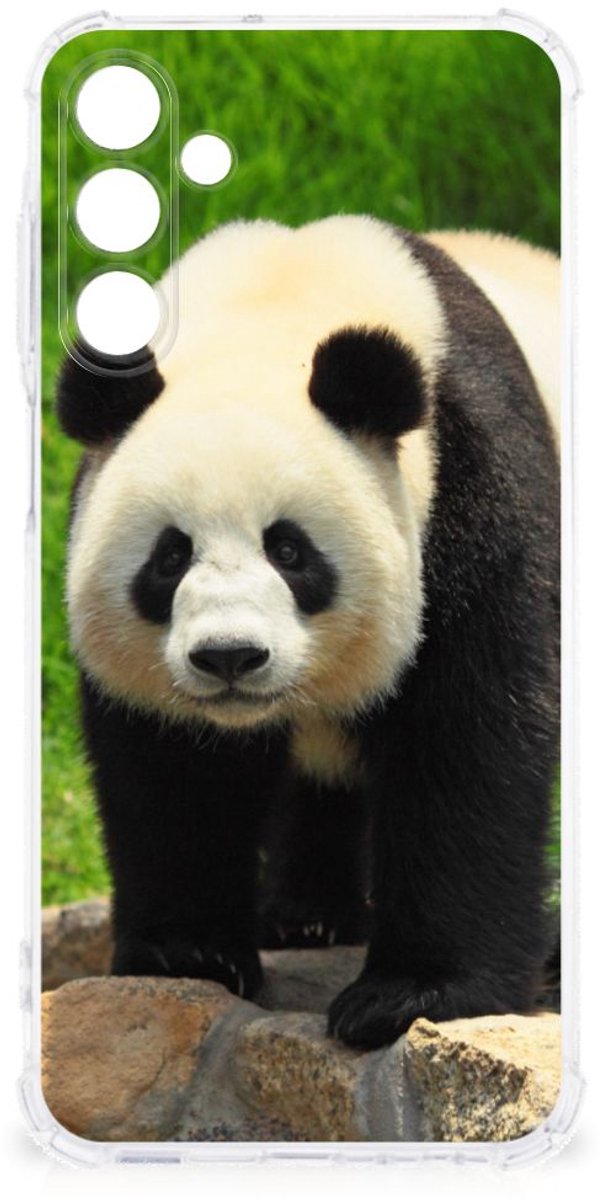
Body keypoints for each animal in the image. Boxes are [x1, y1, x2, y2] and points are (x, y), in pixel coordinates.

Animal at [57, 216, 560, 1050]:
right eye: (169, 556)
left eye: (289, 550)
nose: (229, 657)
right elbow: (173, 767)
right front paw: (188, 953)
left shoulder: (474, 487)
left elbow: (470, 737)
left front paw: (410, 995)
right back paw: (306, 916)